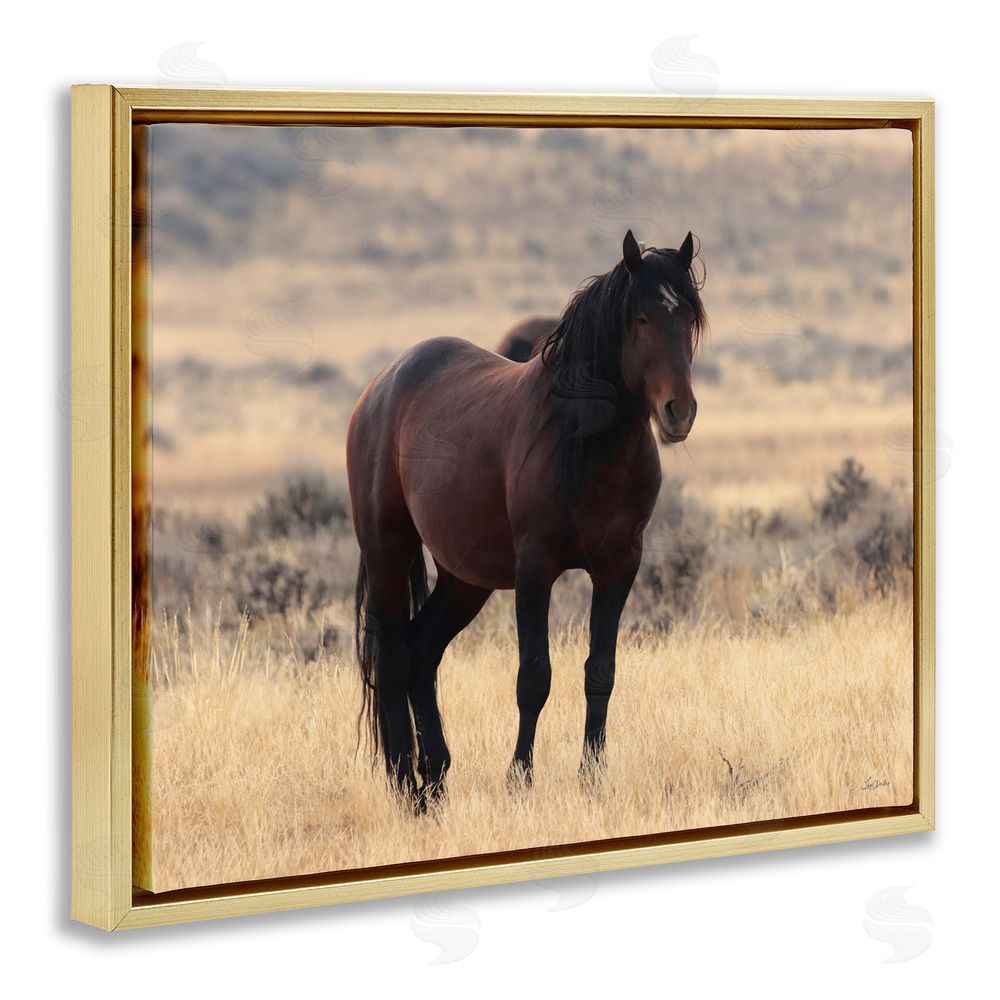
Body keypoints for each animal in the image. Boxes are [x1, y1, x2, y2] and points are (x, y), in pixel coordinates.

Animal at [347, 229, 706, 809]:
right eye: (642, 318)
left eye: (689, 318)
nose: (679, 412)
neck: (586, 445)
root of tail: (380, 386)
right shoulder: (535, 570)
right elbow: (534, 678)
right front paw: (519, 778)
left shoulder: (619, 567)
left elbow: (600, 672)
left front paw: (592, 776)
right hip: (387, 553)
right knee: (395, 655)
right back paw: (407, 788)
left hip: (465, 579)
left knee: (423, 654)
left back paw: (437, 778)